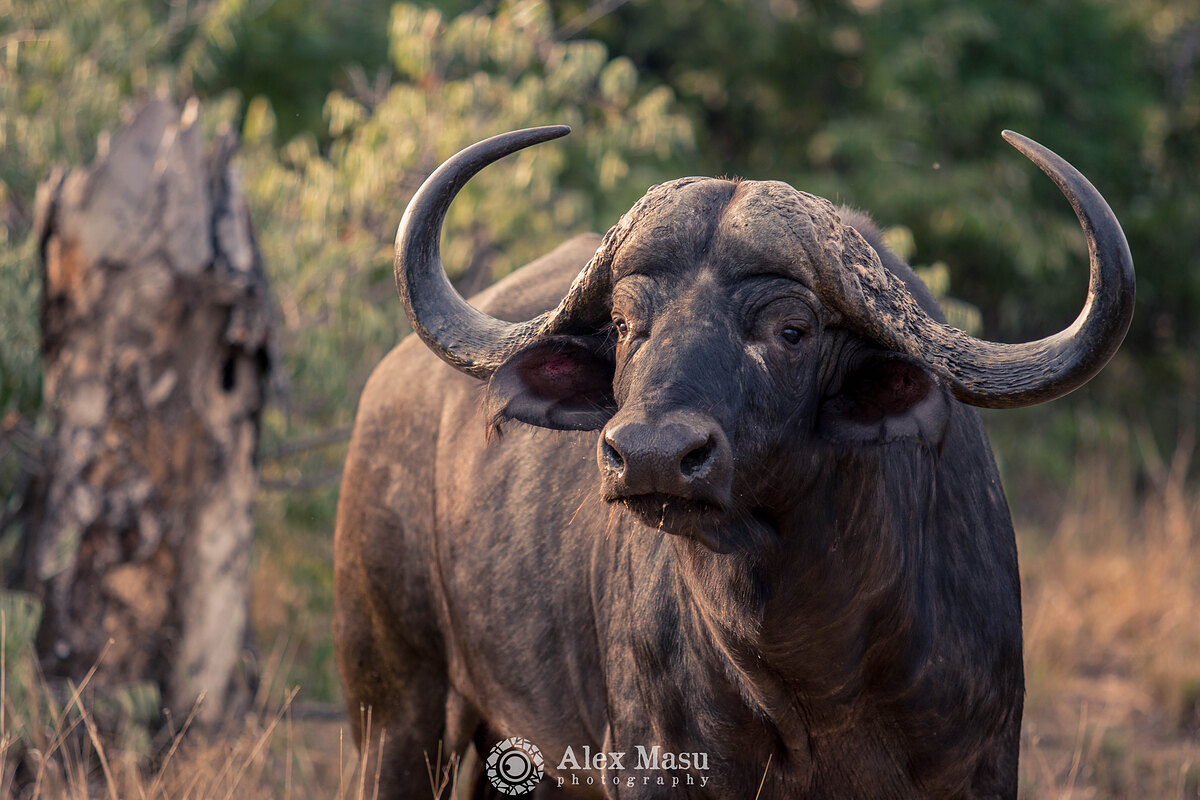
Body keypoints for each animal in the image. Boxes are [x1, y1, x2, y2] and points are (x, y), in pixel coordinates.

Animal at [333, 127, 1133, 798]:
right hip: (395, 717)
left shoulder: (981, 765)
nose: (652, 456)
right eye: (623, 325)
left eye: (791, 330)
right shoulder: (657, 768)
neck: (815, 669)